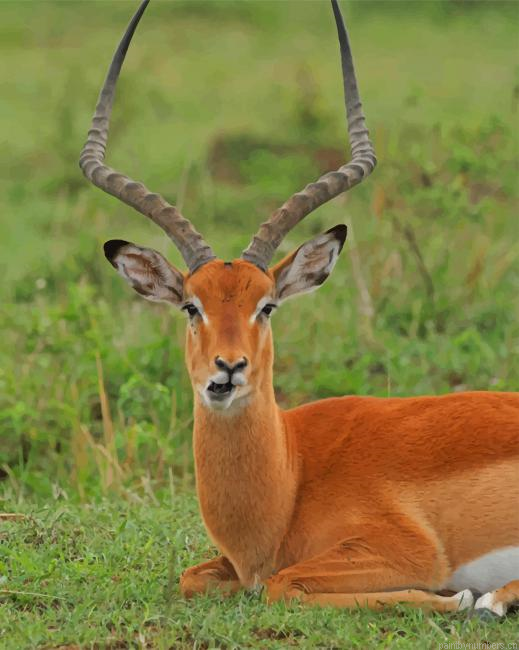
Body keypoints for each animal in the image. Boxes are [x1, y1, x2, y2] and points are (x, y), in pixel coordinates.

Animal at [80, 0, 519, 617]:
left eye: (267, 306)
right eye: (191, 306)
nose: (228, 369)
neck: (291, 479)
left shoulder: (407, 549)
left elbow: (284, 584)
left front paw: (454, 597)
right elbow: (195, 577)